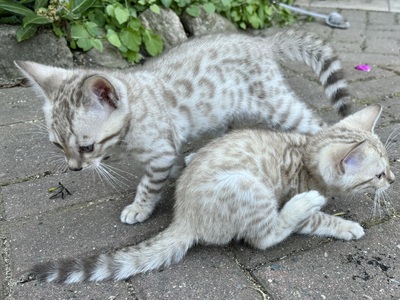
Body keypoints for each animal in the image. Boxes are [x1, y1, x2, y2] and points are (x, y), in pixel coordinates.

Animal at [16, 28, 350, 225]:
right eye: (57, 145)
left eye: (87, 147)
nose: (74, 169)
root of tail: (261, 41)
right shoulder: (168, 147)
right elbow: (173, 166)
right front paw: (183, 169)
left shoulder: (160, 152)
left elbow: (149, 185)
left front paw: (140, 207)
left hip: (276, 105)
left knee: (318, 126)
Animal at [32, 105, 394, 284]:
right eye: (377, 174)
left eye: (388, 165)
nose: (392, 179)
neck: (304, 152)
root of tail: (184, 217)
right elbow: (318, 220)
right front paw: (345, 225)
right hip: (249, 187)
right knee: (264, 237)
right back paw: (303, 205)